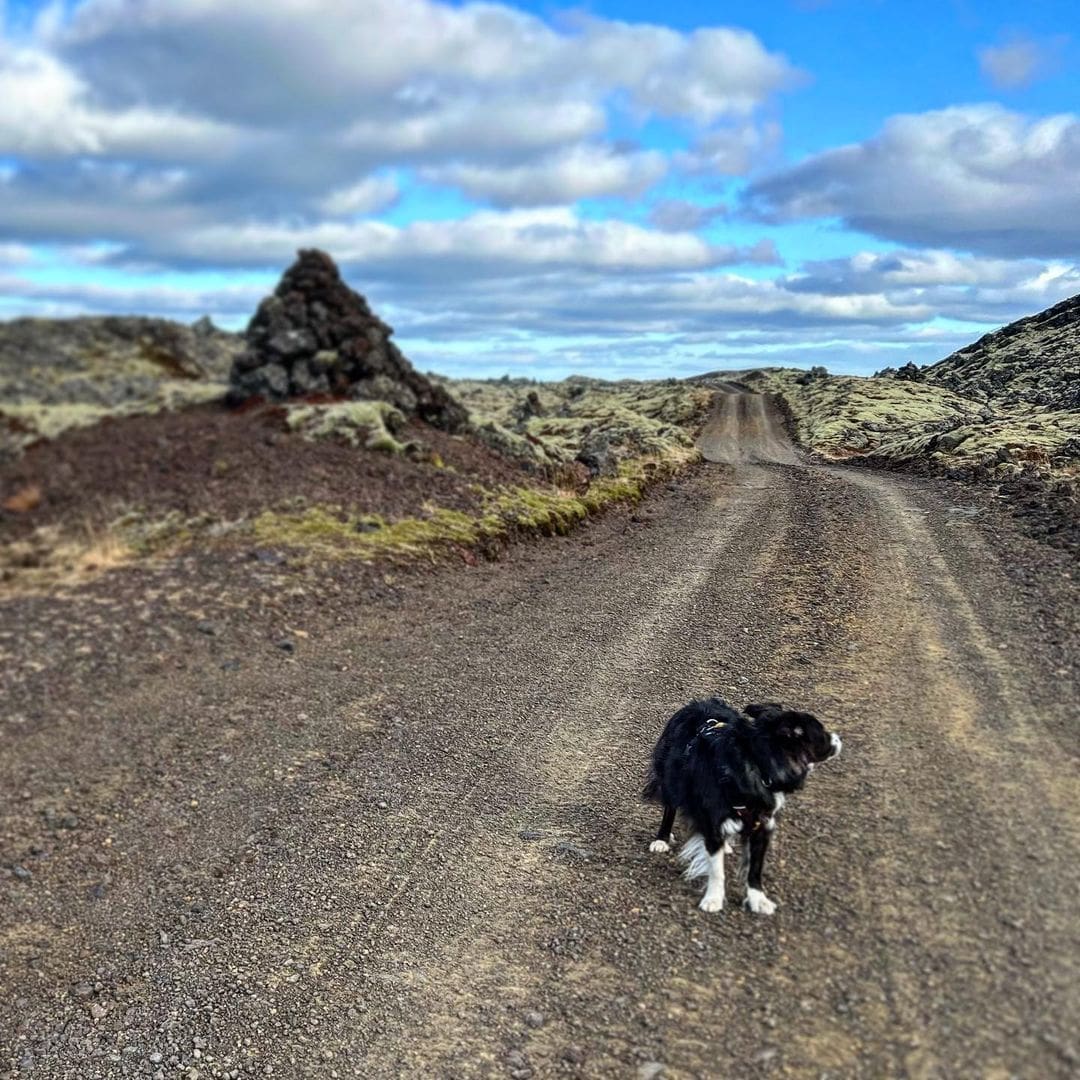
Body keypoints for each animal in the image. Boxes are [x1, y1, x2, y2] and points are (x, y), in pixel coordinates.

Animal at [643, 699, 841, 914]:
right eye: (822, 733)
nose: (838, 738)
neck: (759, 767)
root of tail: (701, 702)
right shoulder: (714, 824)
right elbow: (717, 870)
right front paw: (713, 899)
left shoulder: (763, 827)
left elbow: (755, 869)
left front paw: (758, 900)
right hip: (670, 777)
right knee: (670, 807)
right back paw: (661, 839)